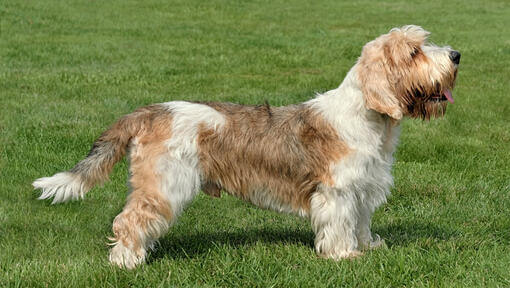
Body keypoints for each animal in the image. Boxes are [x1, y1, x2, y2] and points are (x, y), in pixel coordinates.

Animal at [33, 25, 460, 270]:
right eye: (414, 52)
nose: (457, 55)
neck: (368, 118)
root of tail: (152, 111)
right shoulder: (337, 192)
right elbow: (340, 225)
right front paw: (344, 256)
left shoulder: (363, 189)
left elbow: (361, 223)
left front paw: (369, 247)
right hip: (166, 185)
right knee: (129, 220)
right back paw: (126, 262)